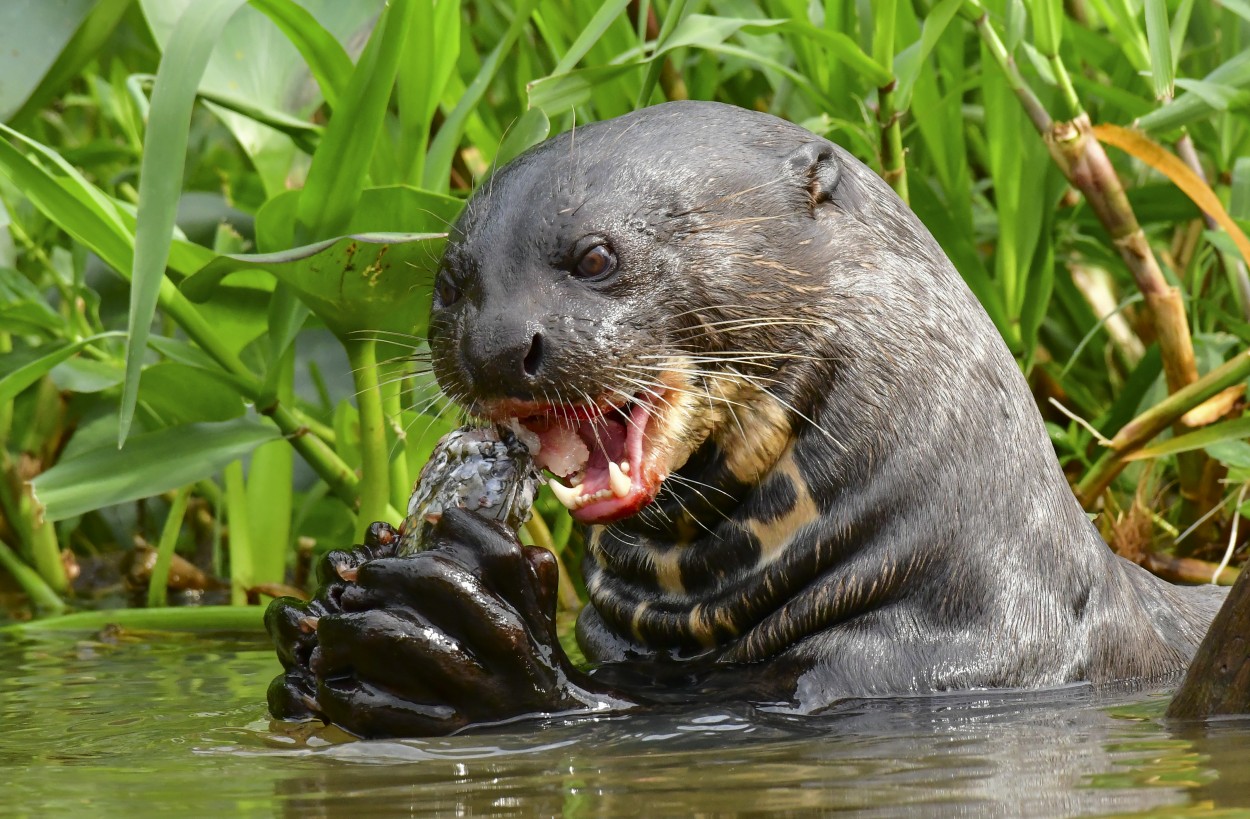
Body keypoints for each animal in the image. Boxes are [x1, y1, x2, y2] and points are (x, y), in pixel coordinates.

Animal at [266, 100, 1230, 735]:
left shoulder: (946, 658)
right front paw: (318, 613)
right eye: (451, 285)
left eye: (595, 256)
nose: (497, 346)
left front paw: (468, 644)